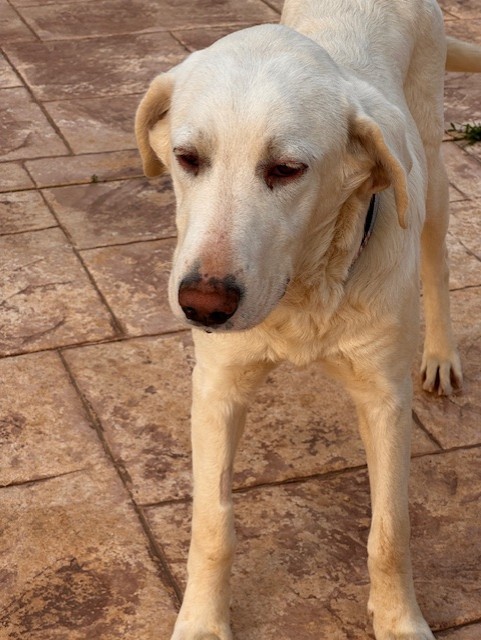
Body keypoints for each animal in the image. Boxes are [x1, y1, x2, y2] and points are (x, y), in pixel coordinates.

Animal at [135, 1, 481, 638]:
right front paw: (202, 621)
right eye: (187, 159)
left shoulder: (385, 400)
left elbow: (390, 531)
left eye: (287, 169)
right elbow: (212, 525)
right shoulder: (217, 389)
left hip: (434, 164)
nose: (202, 306)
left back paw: (442, 353)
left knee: (437, 255)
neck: (302, 298)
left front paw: (398, 619)